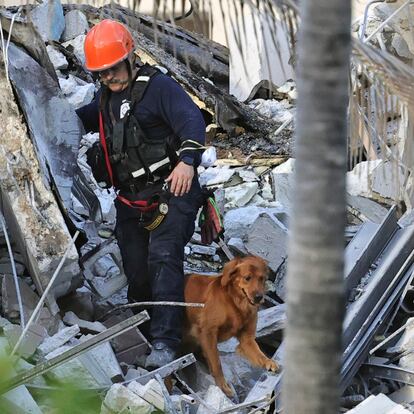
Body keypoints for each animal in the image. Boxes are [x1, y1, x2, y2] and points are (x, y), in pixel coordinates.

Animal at [184, 256, 278, 394]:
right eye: (247, 278)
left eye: (262, 279)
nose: (258, 297)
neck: (235, 303)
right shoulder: (208, 332)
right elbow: (217, 363)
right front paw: (223, 386)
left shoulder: (247, 339)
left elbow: (259, 353)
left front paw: (268, 361)